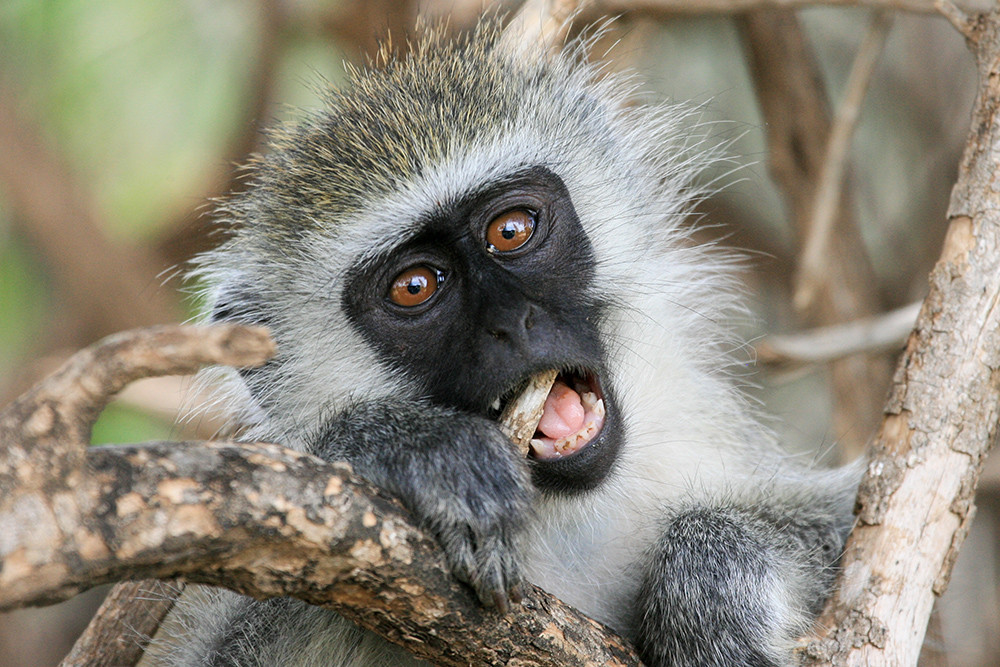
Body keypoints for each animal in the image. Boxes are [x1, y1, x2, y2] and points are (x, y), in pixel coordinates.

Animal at [146, 16, 860, 667]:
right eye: (414, 287)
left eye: (511, 230)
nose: (513, 322)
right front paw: (406, 447)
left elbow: (855, 525)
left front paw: (712, 580)